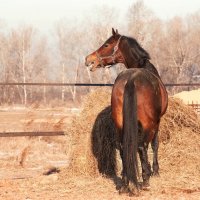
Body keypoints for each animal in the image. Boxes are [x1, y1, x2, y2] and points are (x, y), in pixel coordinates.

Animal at [85, 28, 168, 195]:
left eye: (106, 44)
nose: (89, 60)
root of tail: (131, 79)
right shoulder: (157, 121)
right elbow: (155, 145)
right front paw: (155, 171)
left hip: (119, 121)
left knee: (123, 147)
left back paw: (125, 183)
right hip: (148, 123)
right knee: (142, 146)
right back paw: (145, 180)